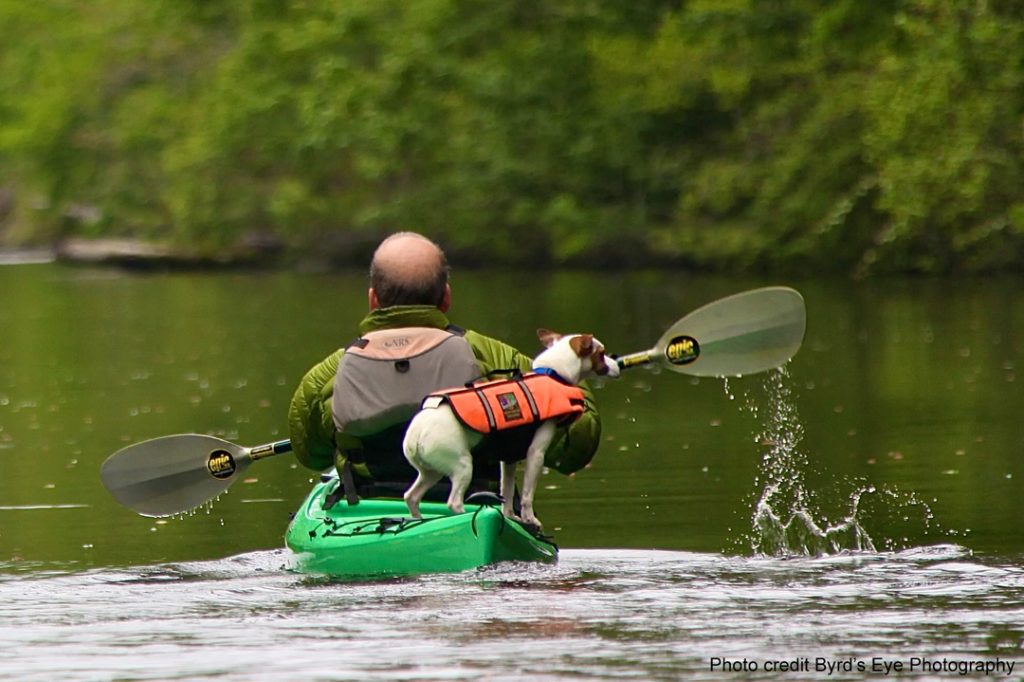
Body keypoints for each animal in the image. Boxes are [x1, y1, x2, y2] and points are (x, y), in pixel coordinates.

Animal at [403, 327, 618, 524]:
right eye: (601, 353)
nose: (616, 362)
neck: (552, 373)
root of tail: (416, 433)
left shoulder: (509, 459)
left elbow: (506, 492)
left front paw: (510, 516)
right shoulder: (536, 454)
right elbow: (527, 495)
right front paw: (530, 519)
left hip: (431, 472)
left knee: (411, 496)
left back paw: (417, 520)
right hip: (462, 466)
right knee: (453, 502)